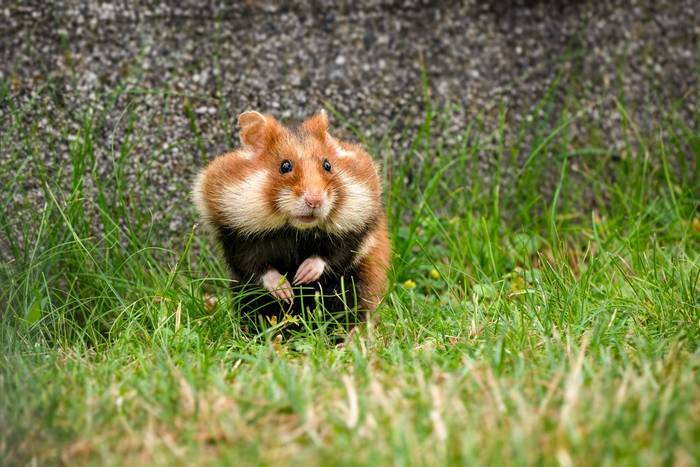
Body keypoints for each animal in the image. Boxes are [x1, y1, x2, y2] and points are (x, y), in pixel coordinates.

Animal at [193, 110, 390, 327]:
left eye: (328, 165)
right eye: (285, 166)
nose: (315, 201)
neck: (294, 230)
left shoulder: (354, 231)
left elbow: (334, 254)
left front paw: (302, 277)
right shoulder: (235, 237)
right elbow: (256, 266)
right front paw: (286, 290)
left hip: (357, 284)